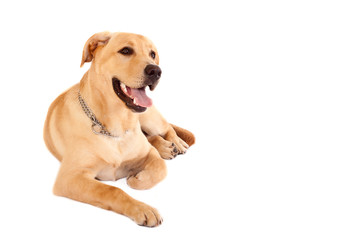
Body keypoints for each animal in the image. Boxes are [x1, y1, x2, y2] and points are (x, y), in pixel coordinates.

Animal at [43, 31, 195, 227]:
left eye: (152, 54)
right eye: (126, 50)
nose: (156, 71)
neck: (116, 126)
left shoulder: (149, 154)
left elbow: (160, 167)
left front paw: (137, 178)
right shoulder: (70, 177)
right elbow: (112, 190)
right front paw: (143, 209)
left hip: (149, 118)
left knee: (166, 128)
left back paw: (174, 143)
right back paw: (166, 147)